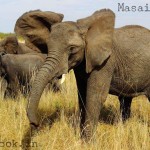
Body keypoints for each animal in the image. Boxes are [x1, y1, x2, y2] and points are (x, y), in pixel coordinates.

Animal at [14, 9, 150, 141]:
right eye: (47, 47)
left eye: (72, 49)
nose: (35, 124)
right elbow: (82, 96)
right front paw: (82, 139)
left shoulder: (105, 63)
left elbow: (95, 97)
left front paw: (89, 143)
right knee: (125, 100)